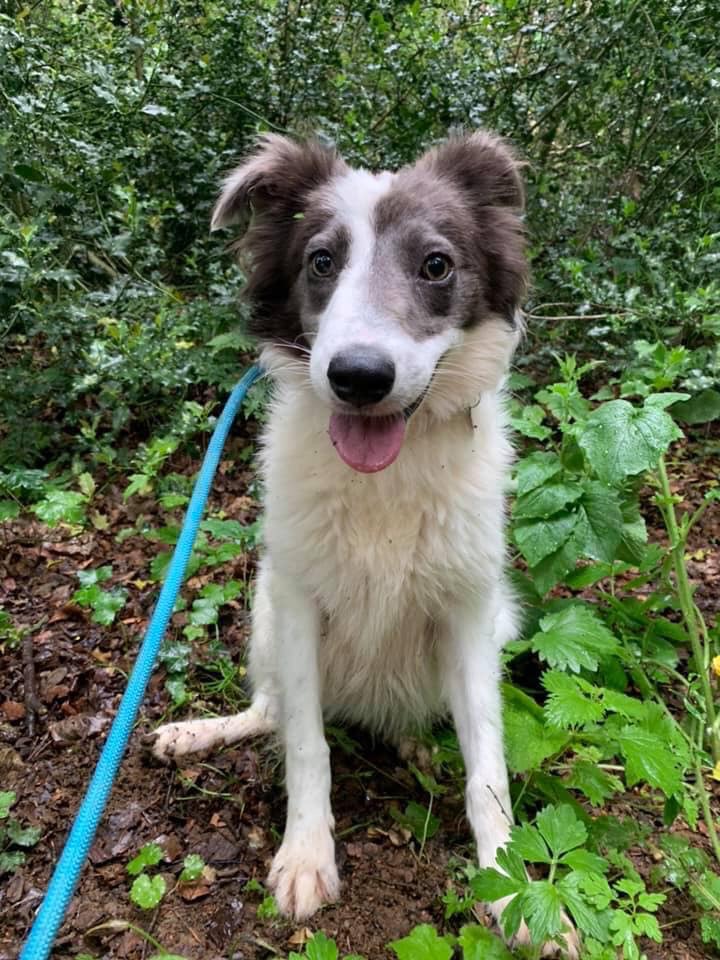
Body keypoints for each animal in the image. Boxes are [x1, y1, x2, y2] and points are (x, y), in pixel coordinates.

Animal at [150, 131, 580, 956]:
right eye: (321, 261)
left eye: (436, 264)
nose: (357, 377)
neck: (386, 476)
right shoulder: (297, 601)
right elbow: (307, 747)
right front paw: (306, 856)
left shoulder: (471, 612)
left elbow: (488, 767)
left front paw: (512, 892)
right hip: (264, 615)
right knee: (273, 711)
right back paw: (199, 732)